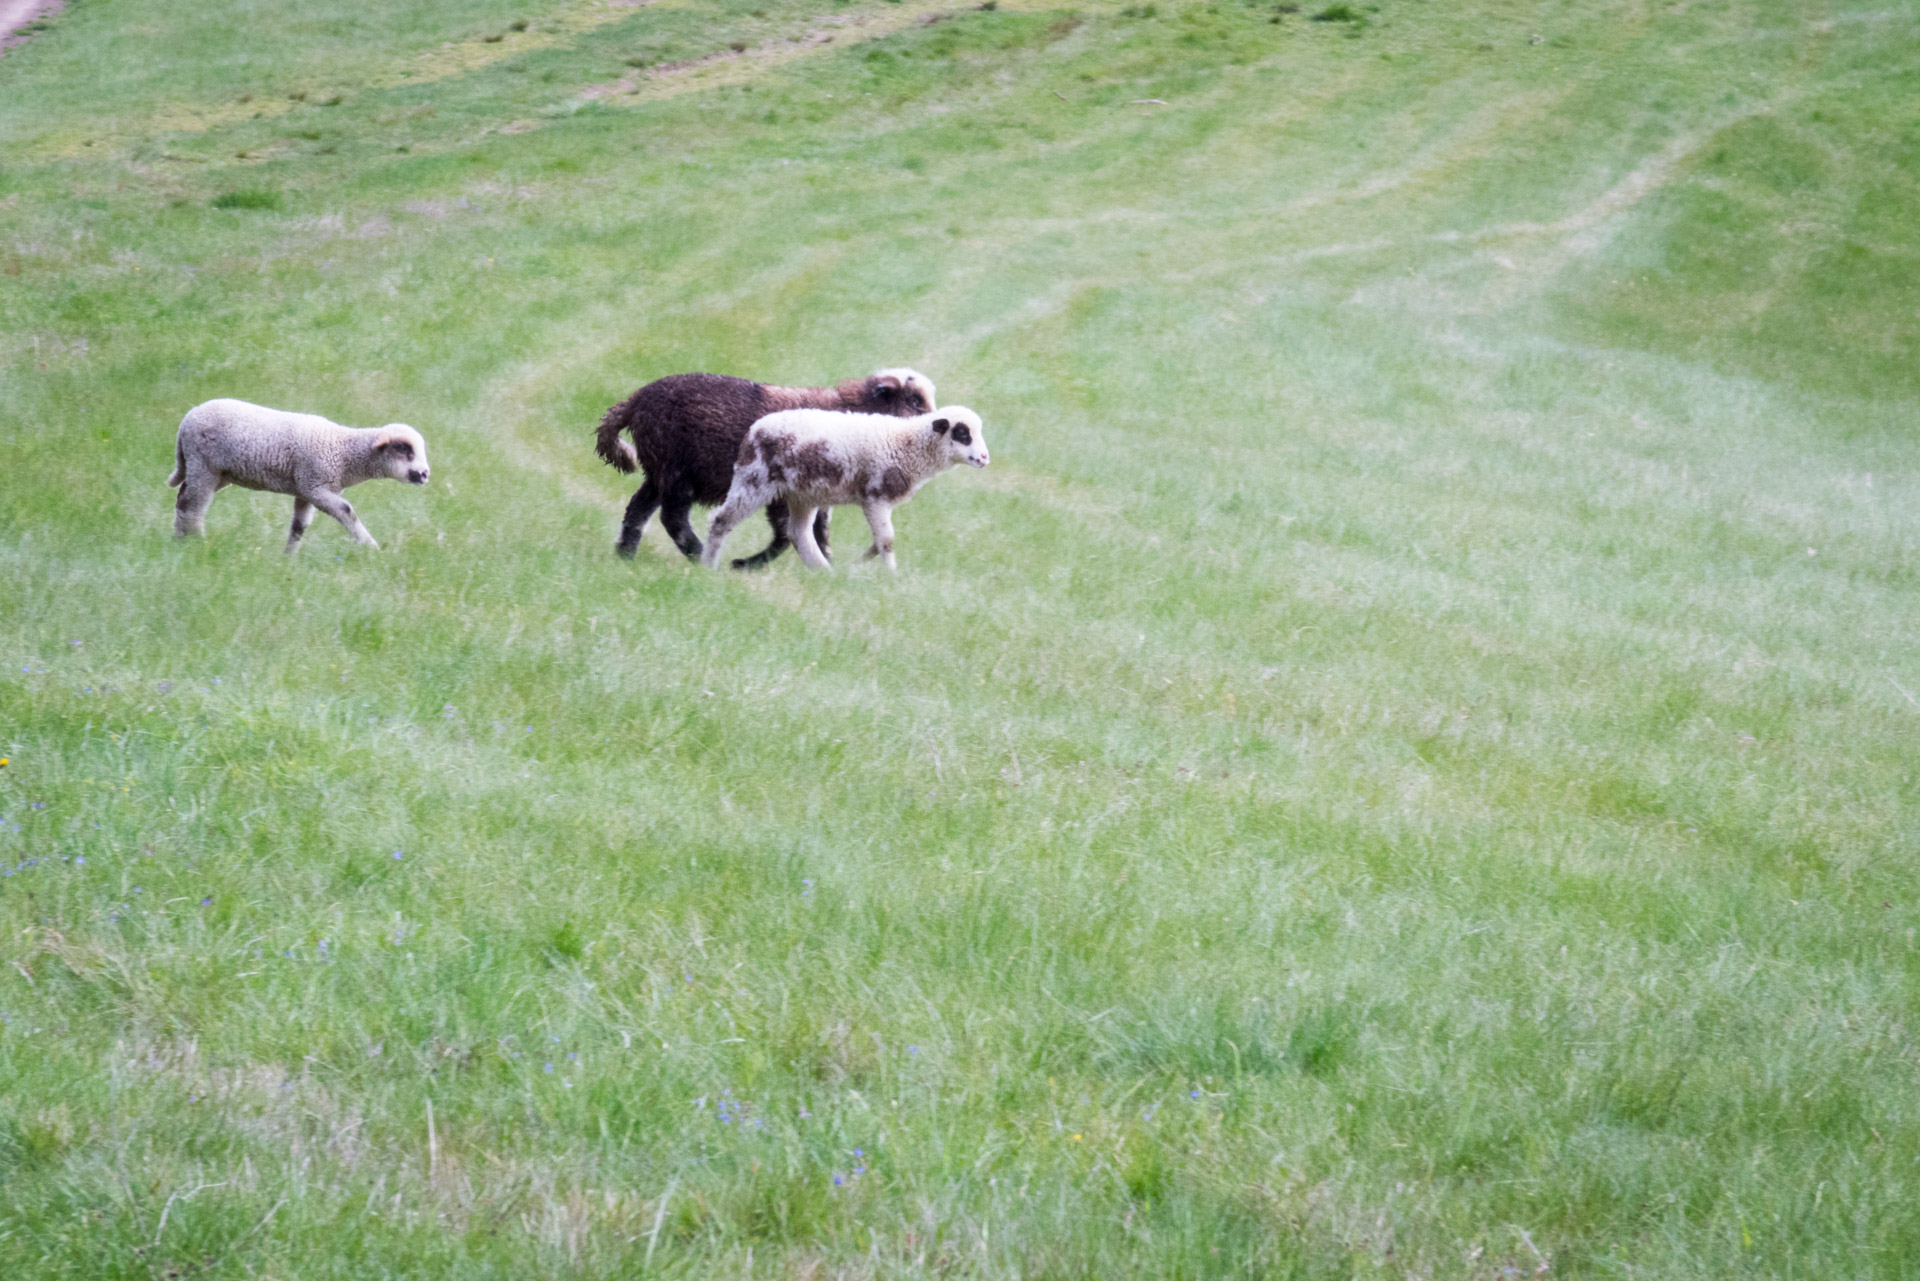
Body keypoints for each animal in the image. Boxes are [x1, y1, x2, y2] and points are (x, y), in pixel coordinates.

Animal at [168, 397, 432, 553]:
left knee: (182, 499)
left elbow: (299, 527)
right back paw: (195, 543)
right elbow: (346, 511)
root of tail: (188, 417)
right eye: (406, 450)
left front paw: (289, 558)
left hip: (217, 472)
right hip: (204, 466)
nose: (424, 474)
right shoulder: (315, 486)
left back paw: (179, 539)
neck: (345, 453)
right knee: (193, 506)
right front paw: (370, 547)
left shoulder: (305, 490)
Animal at [595, 364, 933, 564]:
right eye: (914, 400)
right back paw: (700, 555)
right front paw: (746, 565)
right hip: (677, 471)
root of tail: (635, 401)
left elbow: (819, 532)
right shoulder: (783, 491)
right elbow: (786, 535)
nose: (937, 424)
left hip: (659, 472)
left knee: (638, 510)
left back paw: (625, 555)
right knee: (672, 517)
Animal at [698, 409, 990, 572]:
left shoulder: (878, 501)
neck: (908, 444)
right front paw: (891, 575)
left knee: (798, 533)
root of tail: (754, 429)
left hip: (803, 493)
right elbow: (886, 540)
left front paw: (860, 564)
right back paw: (708, 566)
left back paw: (823, 571)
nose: (985, 458)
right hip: (754, 480)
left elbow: (879, 541)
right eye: (962, 433)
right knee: (720, 520)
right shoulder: (874, 496)